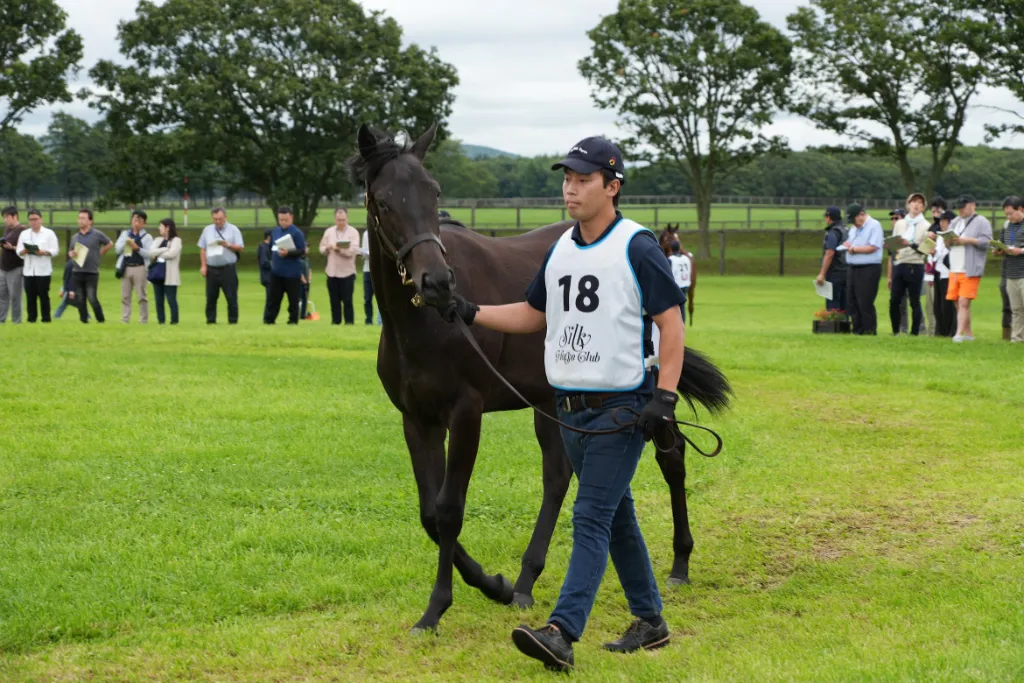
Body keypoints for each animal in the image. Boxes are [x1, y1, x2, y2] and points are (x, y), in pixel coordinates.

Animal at [348, 123, 731, 633]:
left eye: (434, 192)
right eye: (385, 201)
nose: (438, 282)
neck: (422, 327)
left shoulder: (466, 413)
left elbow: (449, 510)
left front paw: (442, 605)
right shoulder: (417, 419)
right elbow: (431, 514)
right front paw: (493, 584)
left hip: (643, 398)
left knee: (672, 460)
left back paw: (679, 563)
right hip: (551, 402)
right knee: (558, 476)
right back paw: (526, 581)